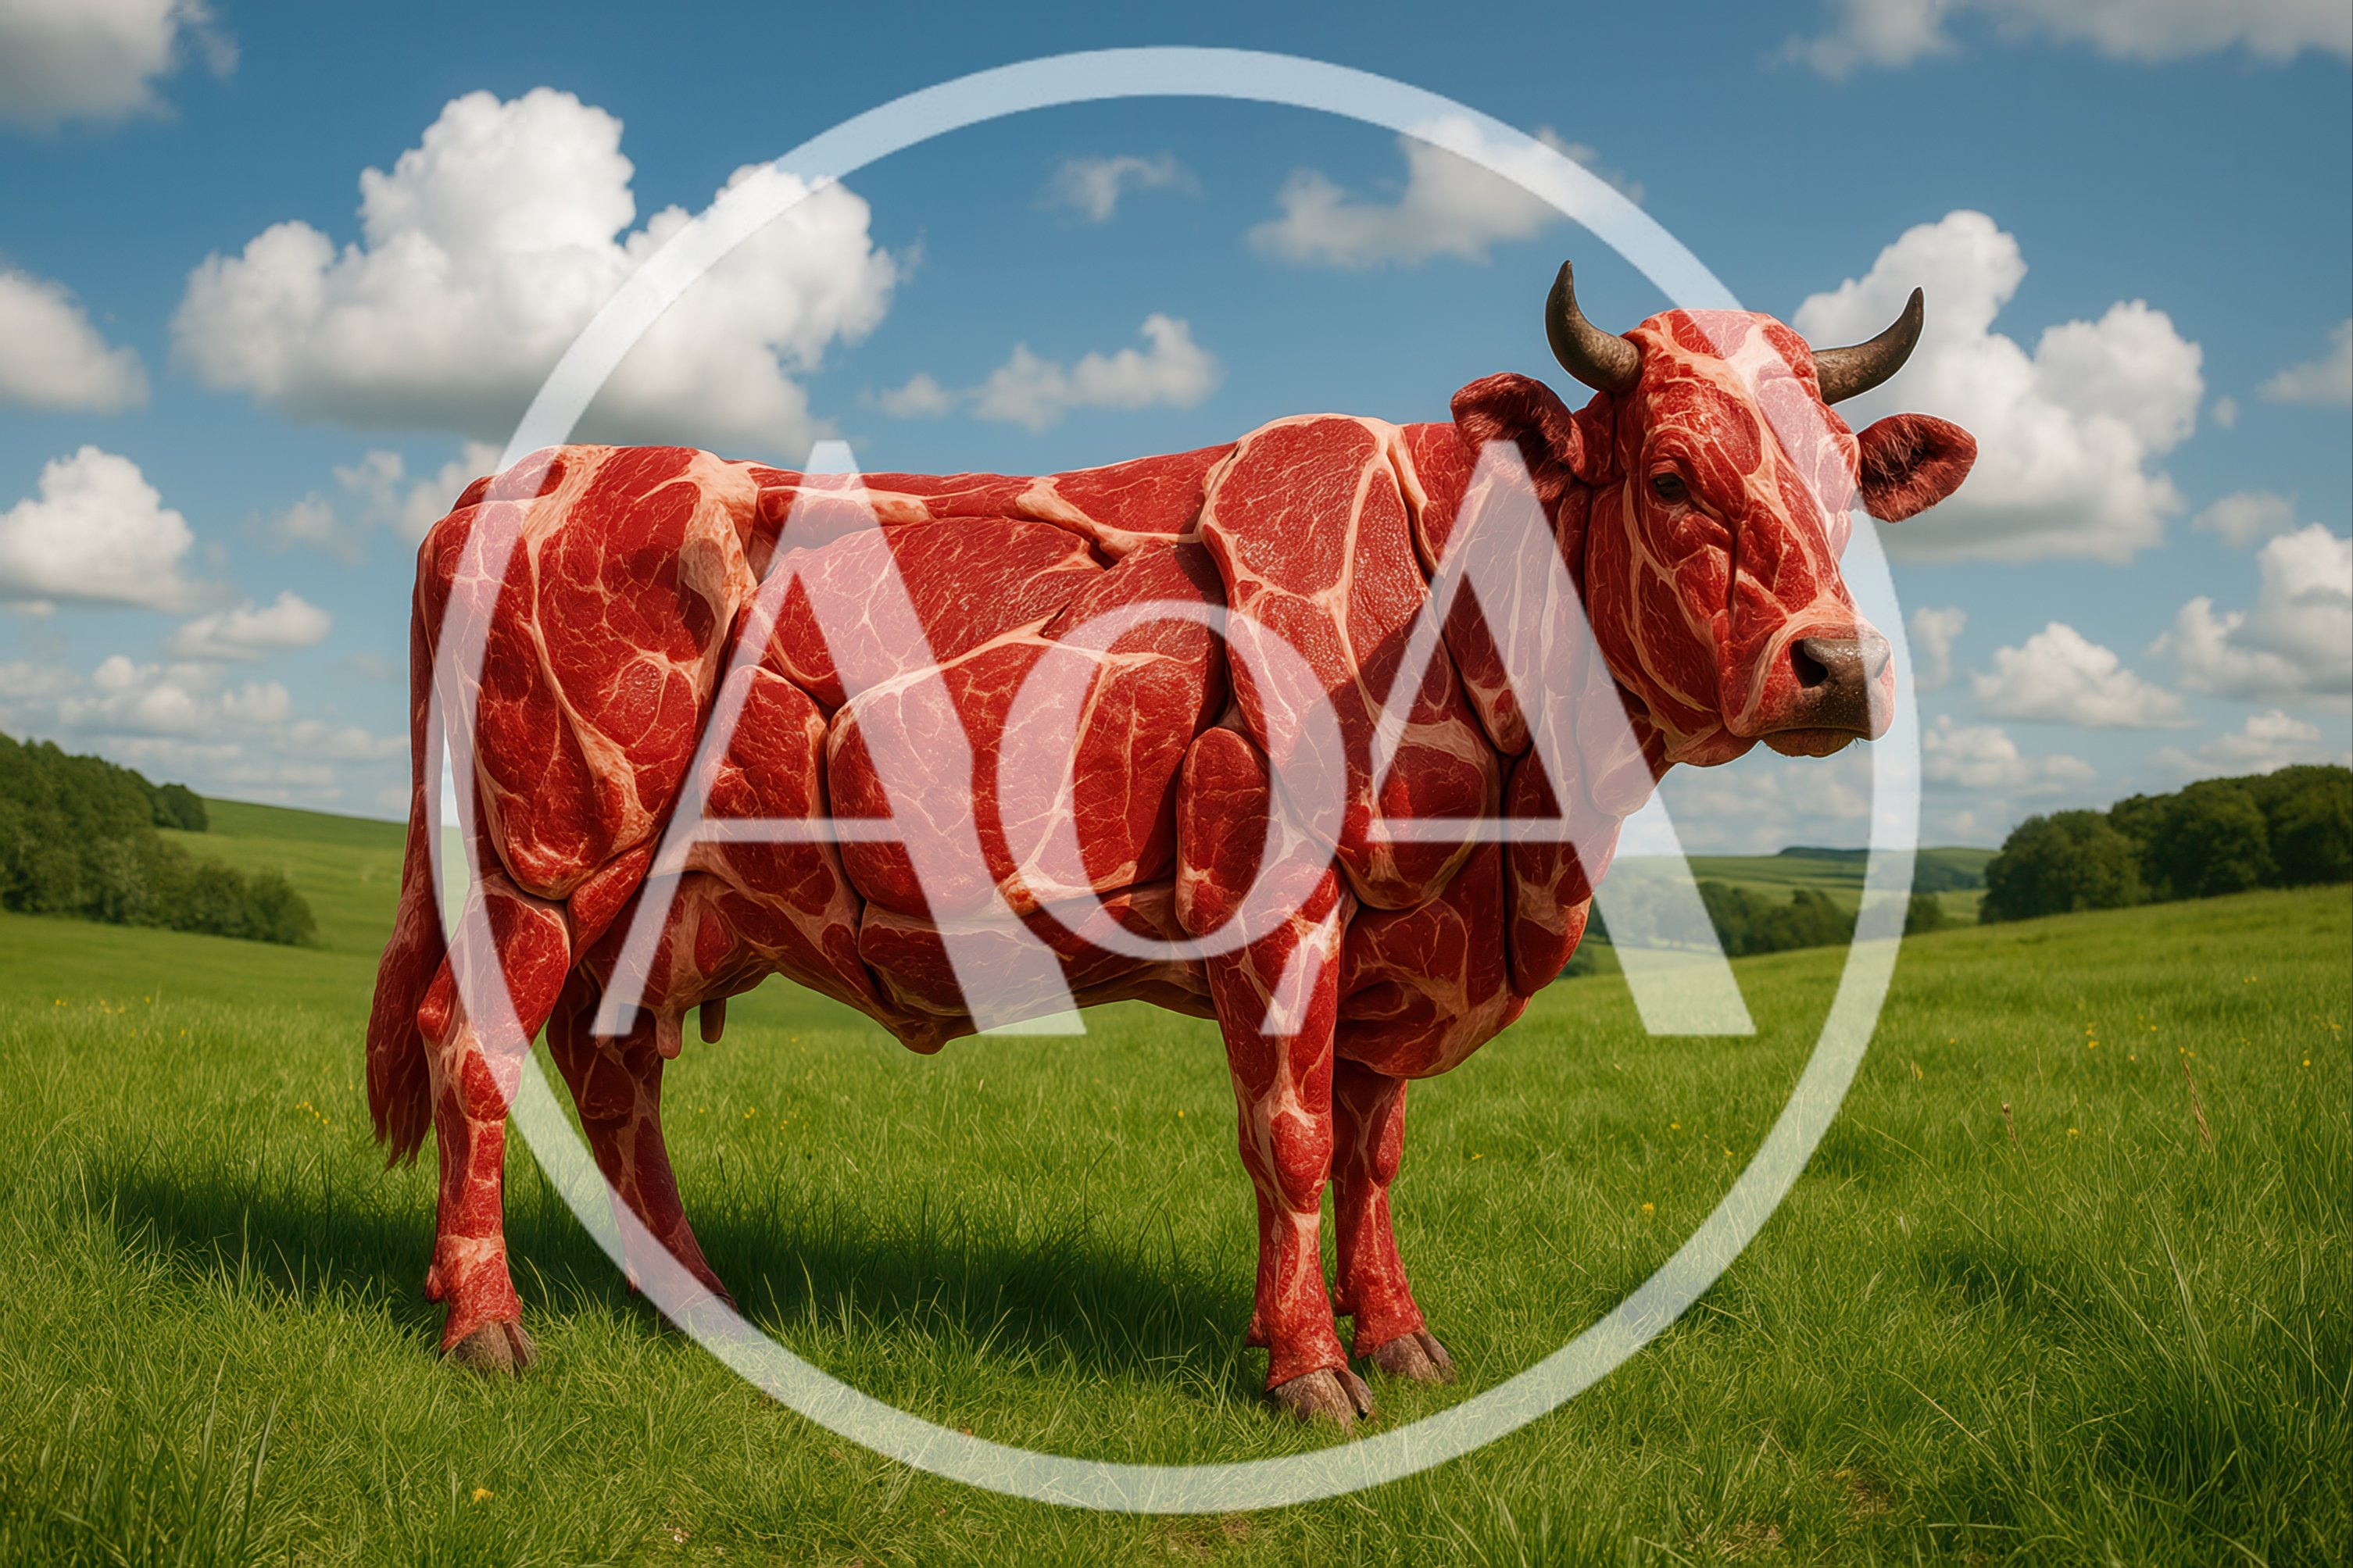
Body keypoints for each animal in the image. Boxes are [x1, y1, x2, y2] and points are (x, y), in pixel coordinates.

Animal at [366, 261, 1975, 1425]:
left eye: (1844, 485)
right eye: (1672, 477)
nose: (1834, 664)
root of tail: (501, 485)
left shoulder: (1399, 938)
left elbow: (1377, 1151)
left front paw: (1403, 1341)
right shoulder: (1279, 902)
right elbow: (1294, 1138)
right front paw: (1309, 1368)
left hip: (656, 905)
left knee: (614, 1081)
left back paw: (700, 1305)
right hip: (542, 865)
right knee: (473, 1048)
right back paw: (487, 1325)